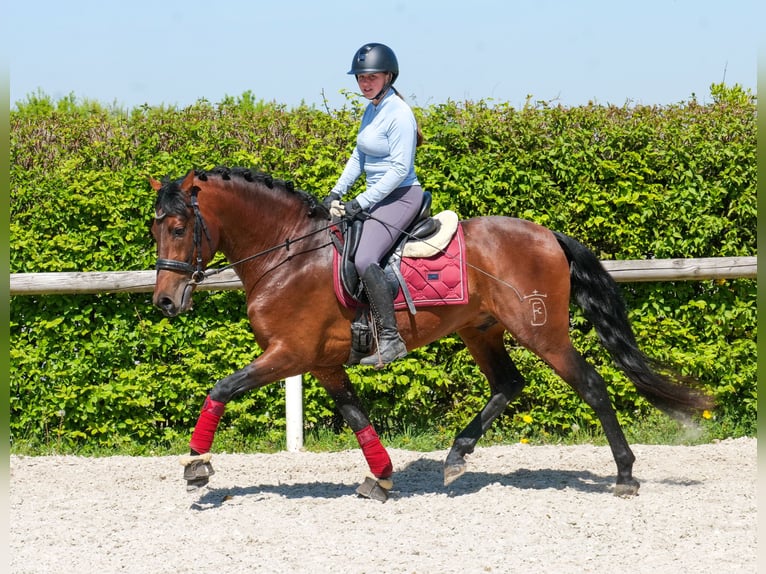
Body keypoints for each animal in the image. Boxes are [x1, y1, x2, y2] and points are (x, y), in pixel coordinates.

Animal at [149, 166, 712, 500]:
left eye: (178, 228)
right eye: (156, 228)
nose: (165, 302)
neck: (288, 252)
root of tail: (548, 235)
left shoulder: (289, 354)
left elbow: (221, 387)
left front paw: (197, 465)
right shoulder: (322, 362)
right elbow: (357, 417)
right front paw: (380, 476)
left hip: (543, 334)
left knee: (591, 386)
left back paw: (625, 474)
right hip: (481, 330)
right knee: (508, 384)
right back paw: (457, 456)